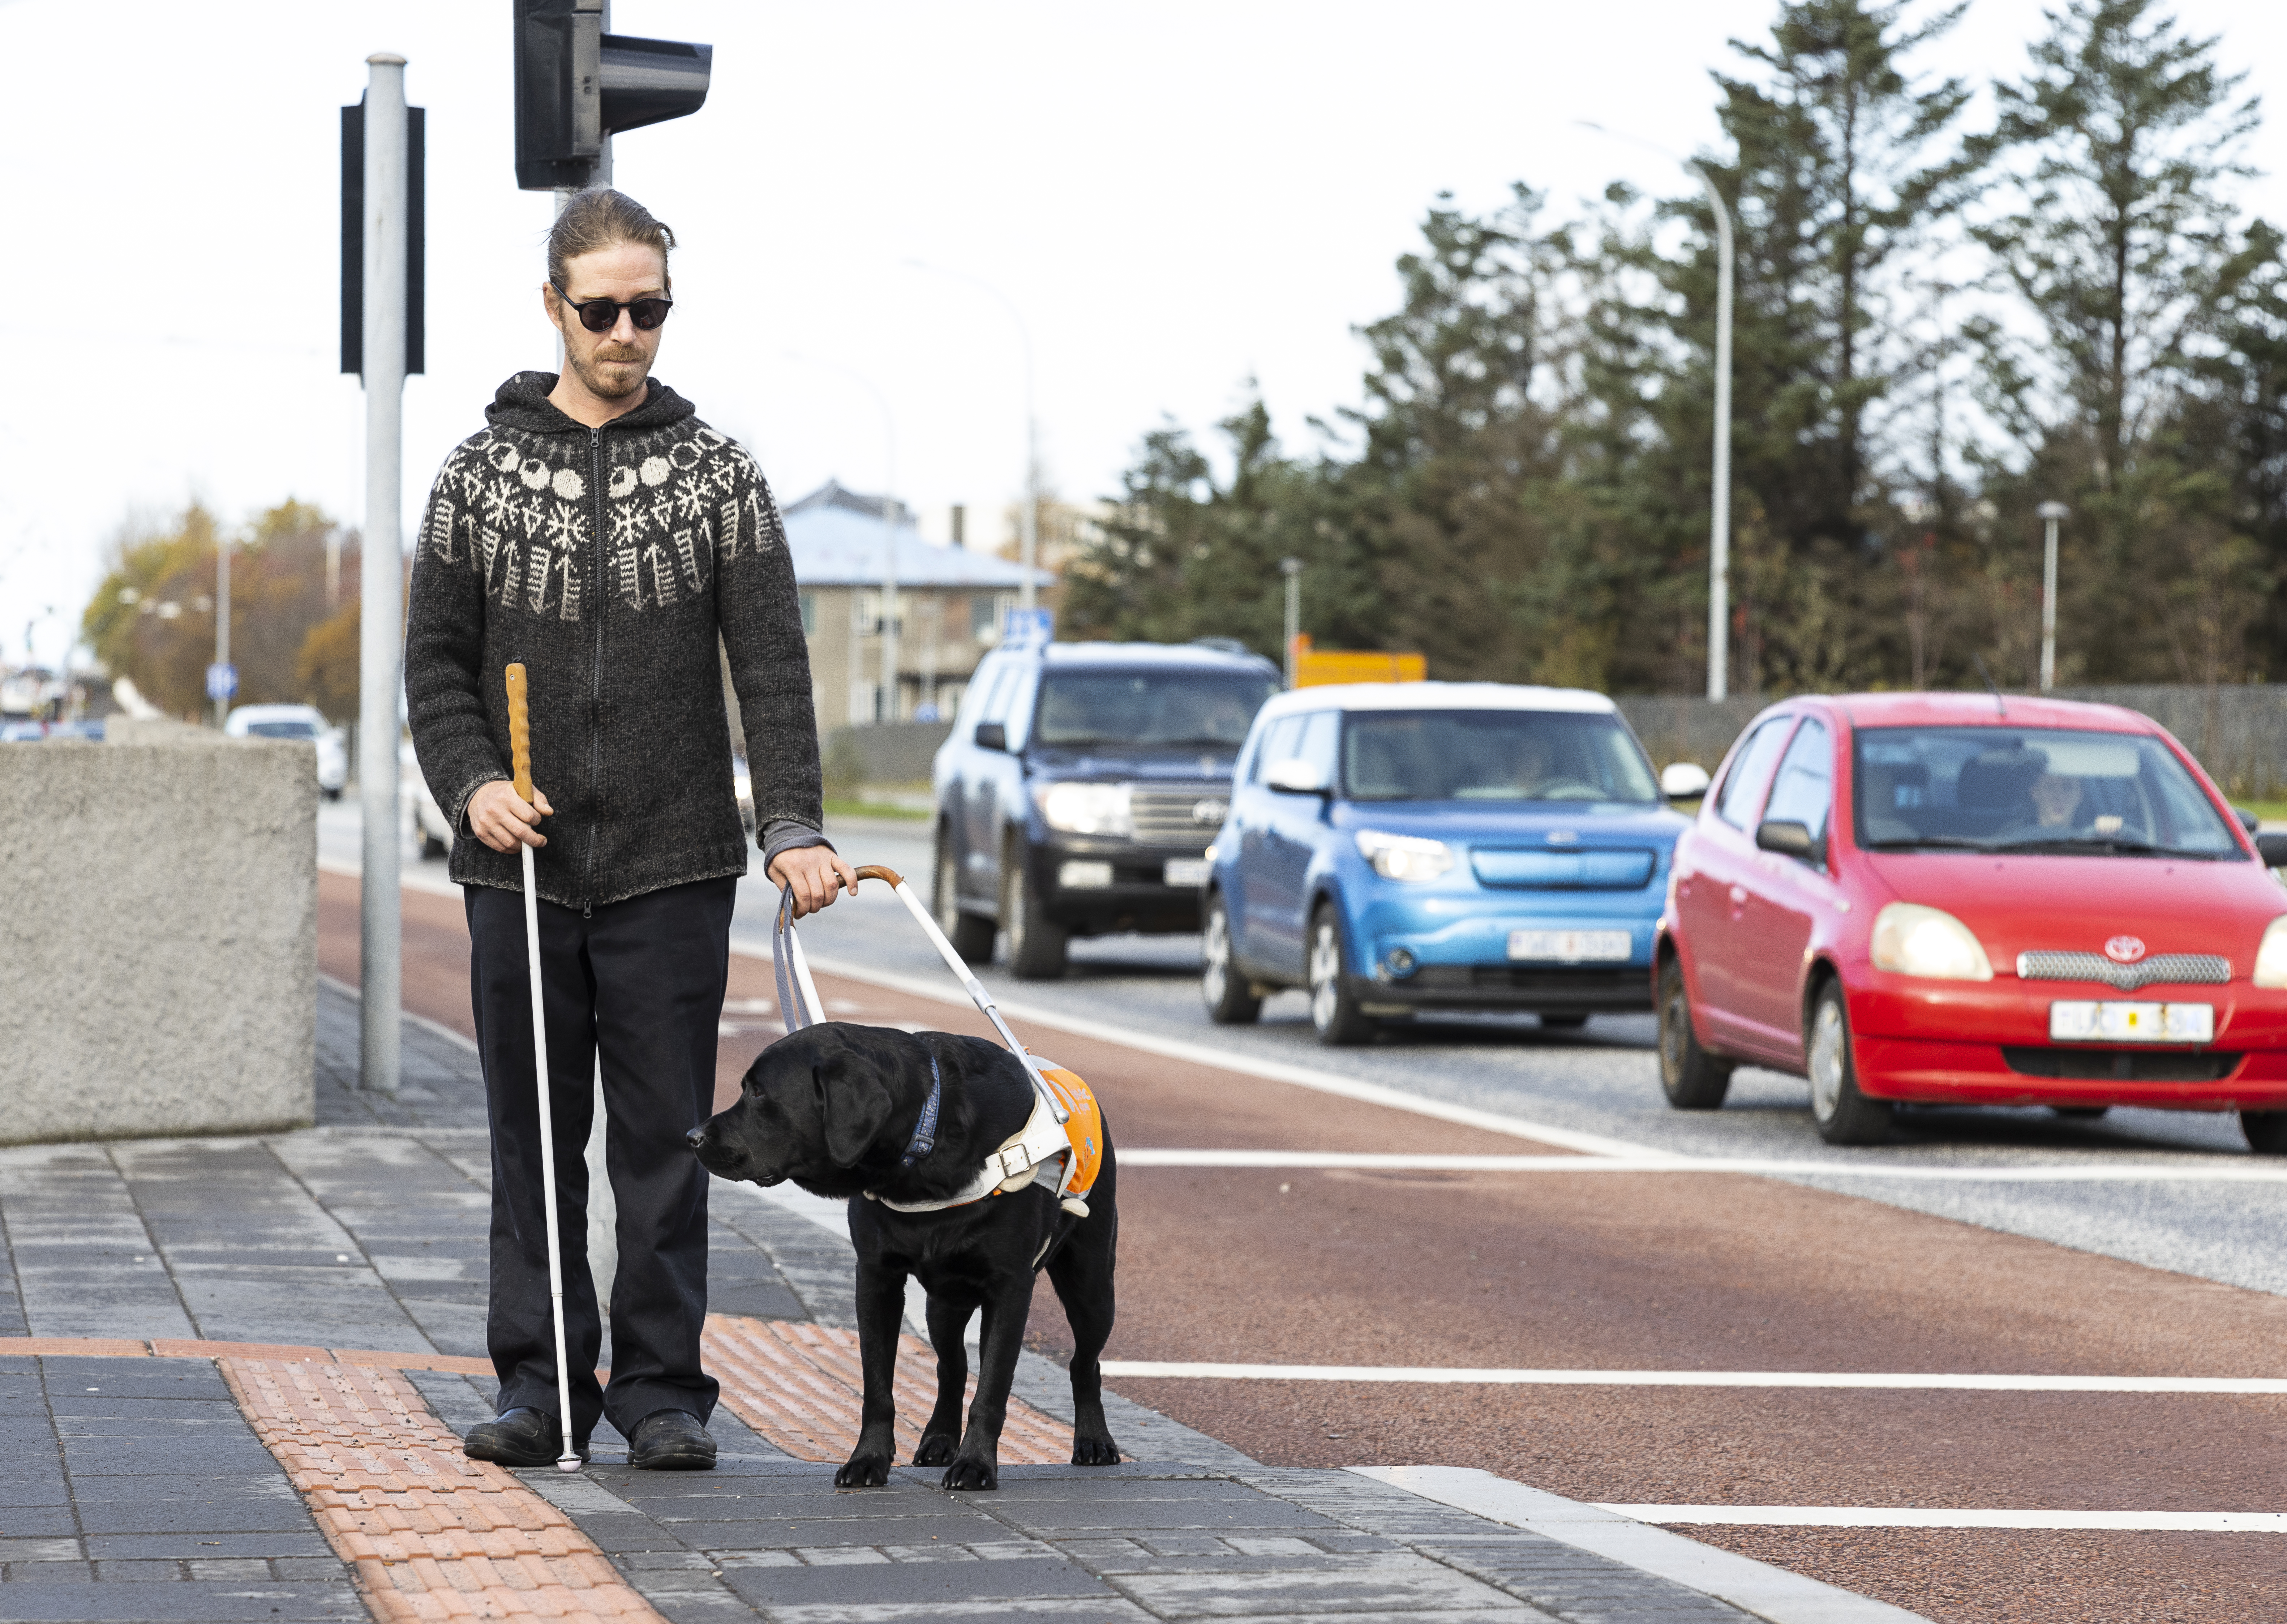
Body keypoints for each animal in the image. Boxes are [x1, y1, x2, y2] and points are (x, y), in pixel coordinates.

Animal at [695, 1025, 1125, 1491]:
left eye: (758, 1092)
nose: (692, 1136)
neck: (926, 1140)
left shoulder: (1011, 1287)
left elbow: (992, 1387)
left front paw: (976, 1464)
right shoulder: (875, 1278)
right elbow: (877, 1386)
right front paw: (867, 1459)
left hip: (1091, 1288)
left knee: (1085, 1363)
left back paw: (1094, 1440)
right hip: (942, 1305)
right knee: (952, 1366)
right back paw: (939, 1439)